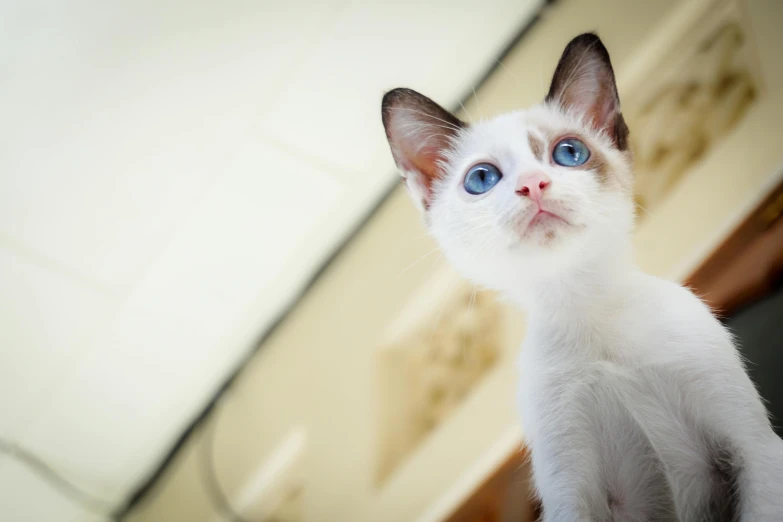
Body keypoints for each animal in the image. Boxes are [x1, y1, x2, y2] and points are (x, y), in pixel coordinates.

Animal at [380, 33, 783, 520]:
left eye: (569, 153)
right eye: (481, 179)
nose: (533, 184)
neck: (584, 307)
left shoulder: (753, 450)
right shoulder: (572, 495)